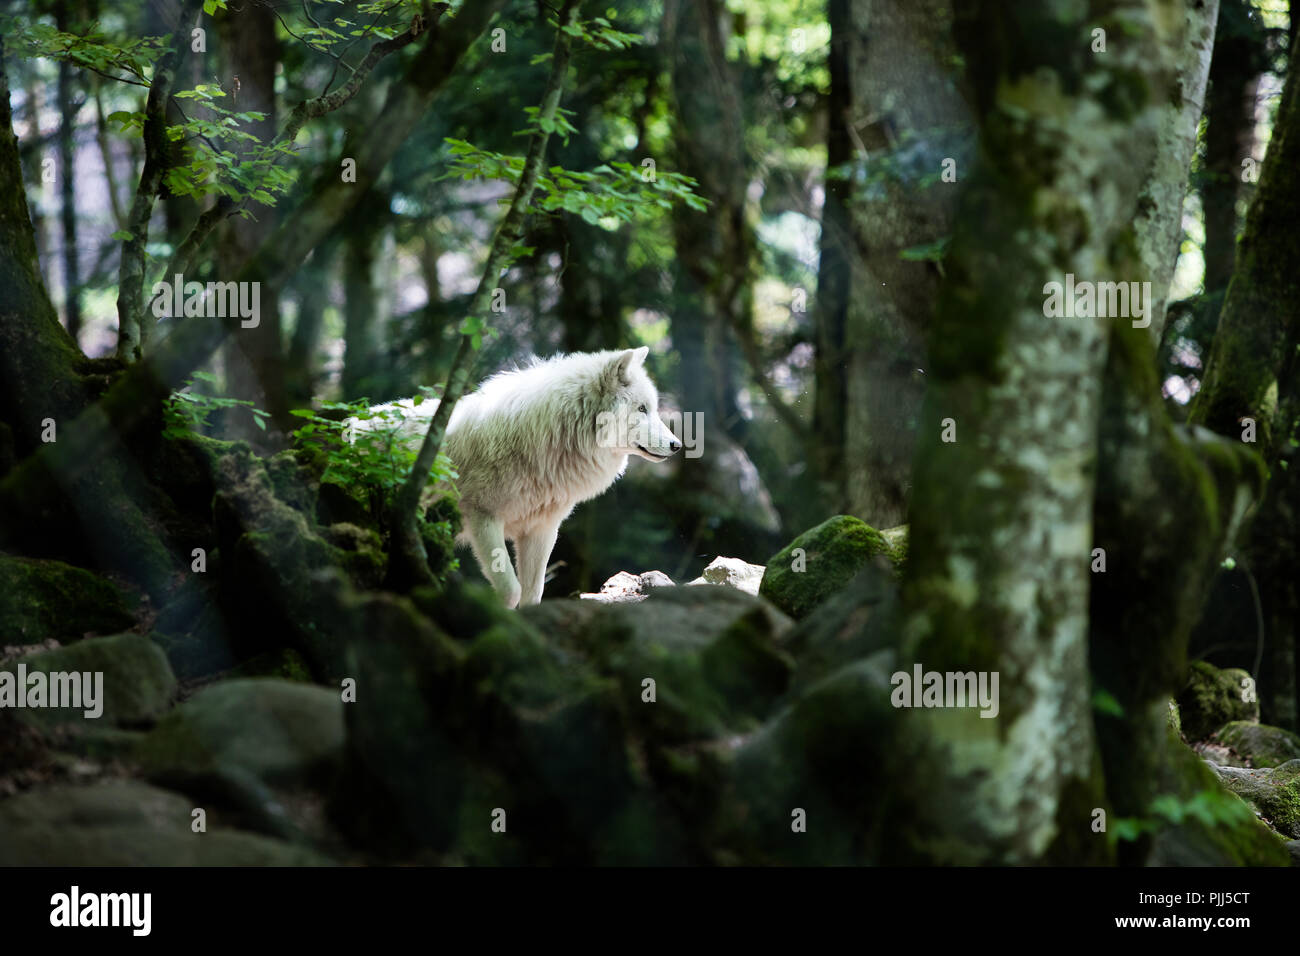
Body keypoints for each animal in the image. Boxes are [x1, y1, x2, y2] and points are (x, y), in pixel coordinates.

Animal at [350, 347, 681, 607]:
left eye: (653, 408)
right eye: (642, 408)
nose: (677, 445)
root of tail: (350, 424)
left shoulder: (541, 529)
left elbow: (533, 595)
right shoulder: (483, 518)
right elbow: (511, 591)